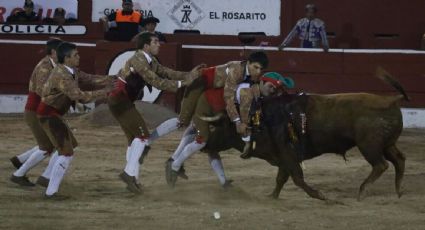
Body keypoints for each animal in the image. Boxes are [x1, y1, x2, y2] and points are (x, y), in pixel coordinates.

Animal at [200, 67, 406, 200]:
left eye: (217, 127)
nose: (205, 146)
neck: (259, 119)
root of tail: (391, 100)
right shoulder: (282, 156)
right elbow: (281, 178)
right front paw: (272, 196)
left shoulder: (288, 154)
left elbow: (297, 178)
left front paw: (320, 195)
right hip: (387, 144)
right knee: (399, 160)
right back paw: (398, 190)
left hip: (369, 145)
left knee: (381, 165)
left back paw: (363, 191)